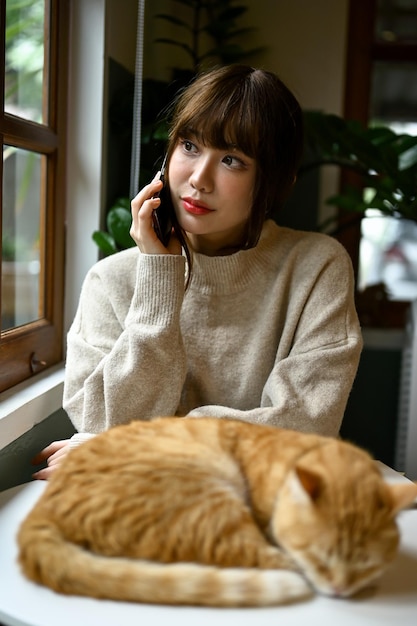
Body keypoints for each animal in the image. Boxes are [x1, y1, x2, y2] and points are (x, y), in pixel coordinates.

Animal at [17, 414, 416, 604]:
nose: (339, 589)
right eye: (319, 558)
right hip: (210, 505)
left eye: (366, 564)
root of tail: (40, 510)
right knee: (253, 556)